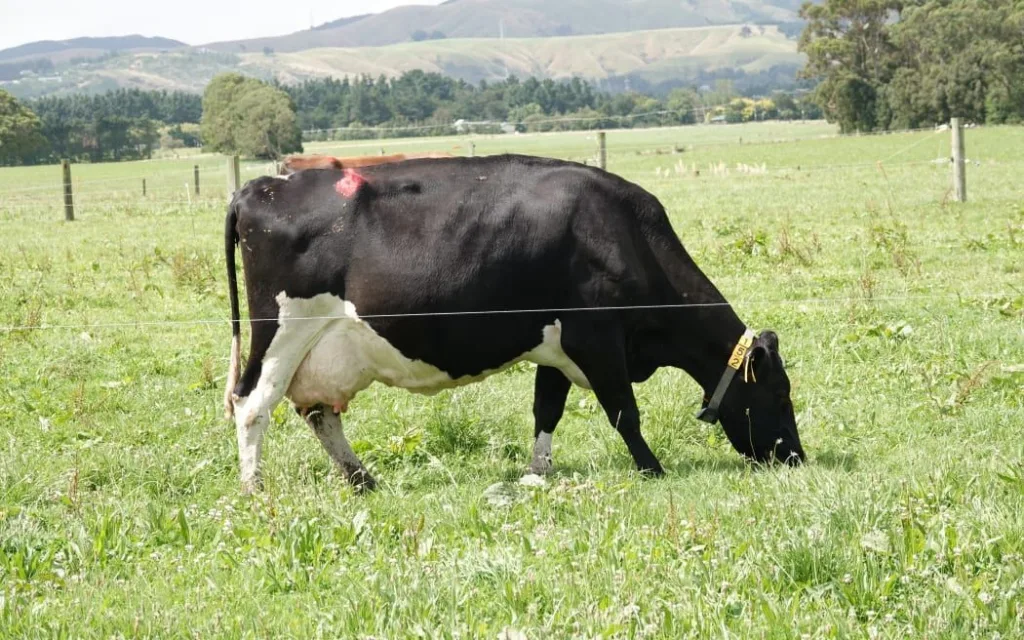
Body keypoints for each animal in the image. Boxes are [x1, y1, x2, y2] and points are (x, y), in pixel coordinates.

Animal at [224, 152, 806, 491]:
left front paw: (538, 472)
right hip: (281, 330)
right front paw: (652, 468)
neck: (624, 233)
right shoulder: (598, 338)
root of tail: (261, 186)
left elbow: (546, 409)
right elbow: (624, 412)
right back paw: (255, 489)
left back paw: (362, 478)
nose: (796, 458)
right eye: (781, 395)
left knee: (319, 412)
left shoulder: (555, 344)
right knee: (252, 404)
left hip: (322, 348)